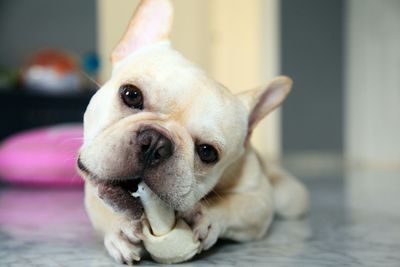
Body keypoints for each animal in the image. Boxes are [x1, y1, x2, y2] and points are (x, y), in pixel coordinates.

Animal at [78, 0, 310, 264]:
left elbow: (237, 205)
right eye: (131, 94)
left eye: (207, 152)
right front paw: (118, 228)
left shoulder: (259, 199)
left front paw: (208, 216)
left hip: (291, 198)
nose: (156, 142)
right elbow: (101, 204)